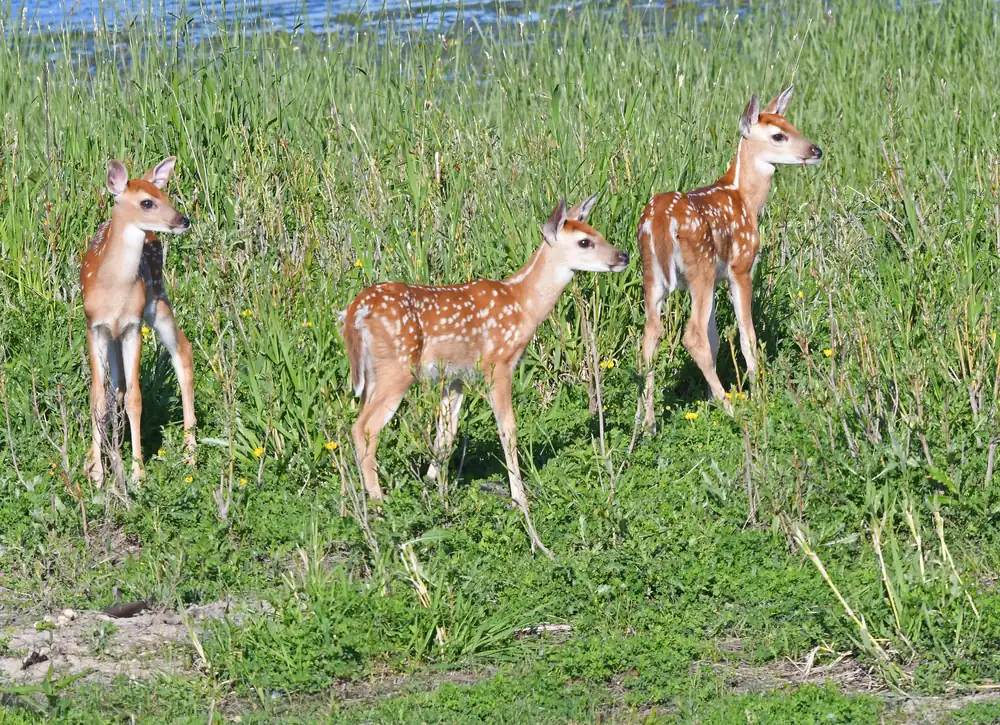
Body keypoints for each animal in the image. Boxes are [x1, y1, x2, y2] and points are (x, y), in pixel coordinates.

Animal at [81, 156, 196, 487]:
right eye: (147, 202)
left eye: (165, 195)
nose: (183, 219)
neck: (113, 291)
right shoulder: (95, 326)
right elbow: (98, 397)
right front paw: (97, 473)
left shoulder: (133, 325)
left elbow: (135, 397)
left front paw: (137, 472)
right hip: (119, 332)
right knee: (116, 387)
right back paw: (107, 451)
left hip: (157, 297)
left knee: (182, 349)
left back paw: (191, 454)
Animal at [341, 195, 629, 555]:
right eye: (584, 242)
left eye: (597, 232)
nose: (623, 256)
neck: (523, 305)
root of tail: (354, 313)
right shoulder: (499, 364)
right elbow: (508, 428)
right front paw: (520, 500)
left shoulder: (456, 377)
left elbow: (446, 434)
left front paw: (435, 490)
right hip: (396, 369)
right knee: (364, 428)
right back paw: (378, 509)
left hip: (371, 374)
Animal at [638, 85, 822, 431]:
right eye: (778, 135)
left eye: (792, 125)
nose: (815, 150)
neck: (745, 198)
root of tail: (659, 223)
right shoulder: (739, 267)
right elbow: (746, 335)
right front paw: (758, 393)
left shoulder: (719, 278)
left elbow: (715, 339)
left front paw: (711, 398)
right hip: (701, 267)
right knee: (692, 336)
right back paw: (732, 410)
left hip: (653, 275)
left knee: (651, 336)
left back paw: (649, 423)